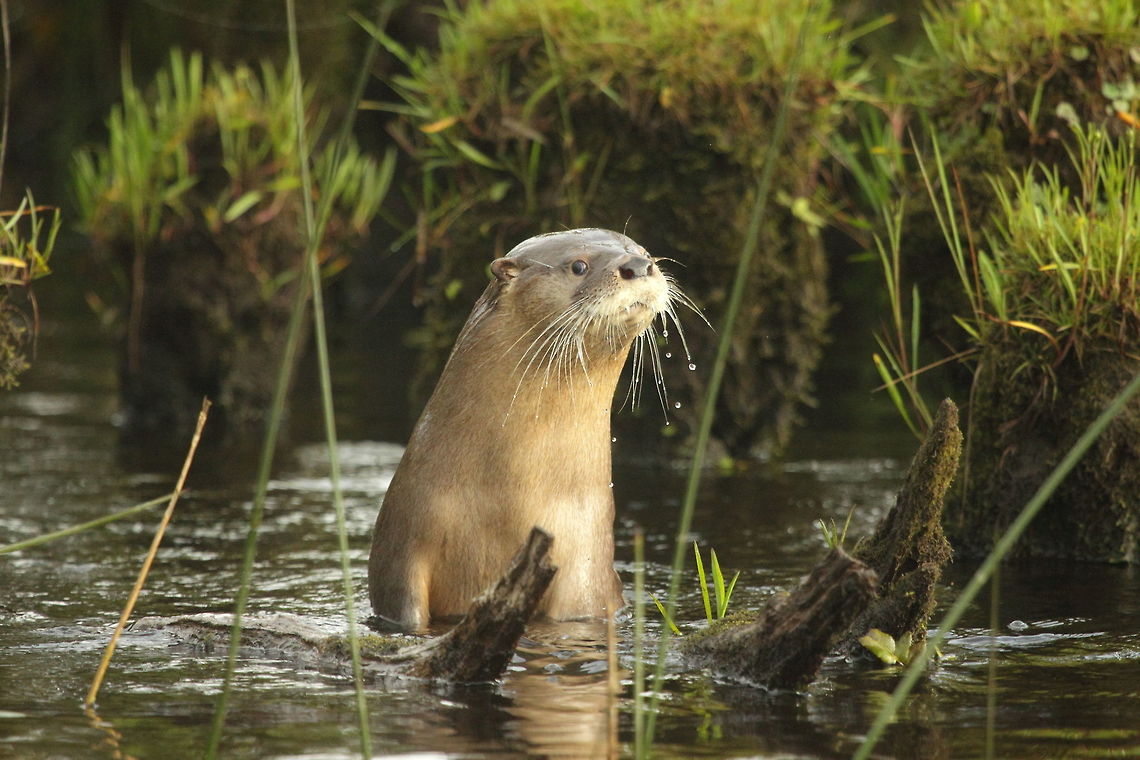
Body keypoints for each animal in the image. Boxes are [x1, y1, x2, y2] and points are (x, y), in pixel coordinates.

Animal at [368, 228, 690, 630]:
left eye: (645, 252)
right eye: (578, 265)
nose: (638, 265)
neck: (508, 501)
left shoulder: (585, 567)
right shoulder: (402, 547)